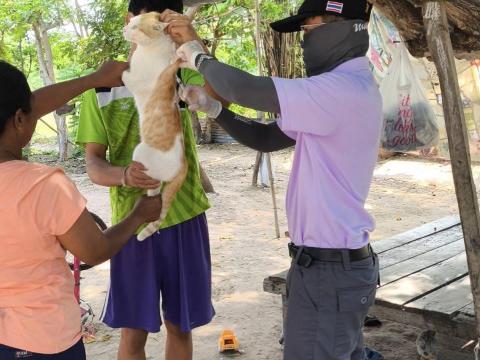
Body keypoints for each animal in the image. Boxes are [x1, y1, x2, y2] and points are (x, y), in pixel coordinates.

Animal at [121, 11, 187, 242]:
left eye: (135, 27)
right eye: (130, 22)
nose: (124, 29)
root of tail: (184, 165)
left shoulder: (134, 80)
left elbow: (124, 73)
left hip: (140, 152)